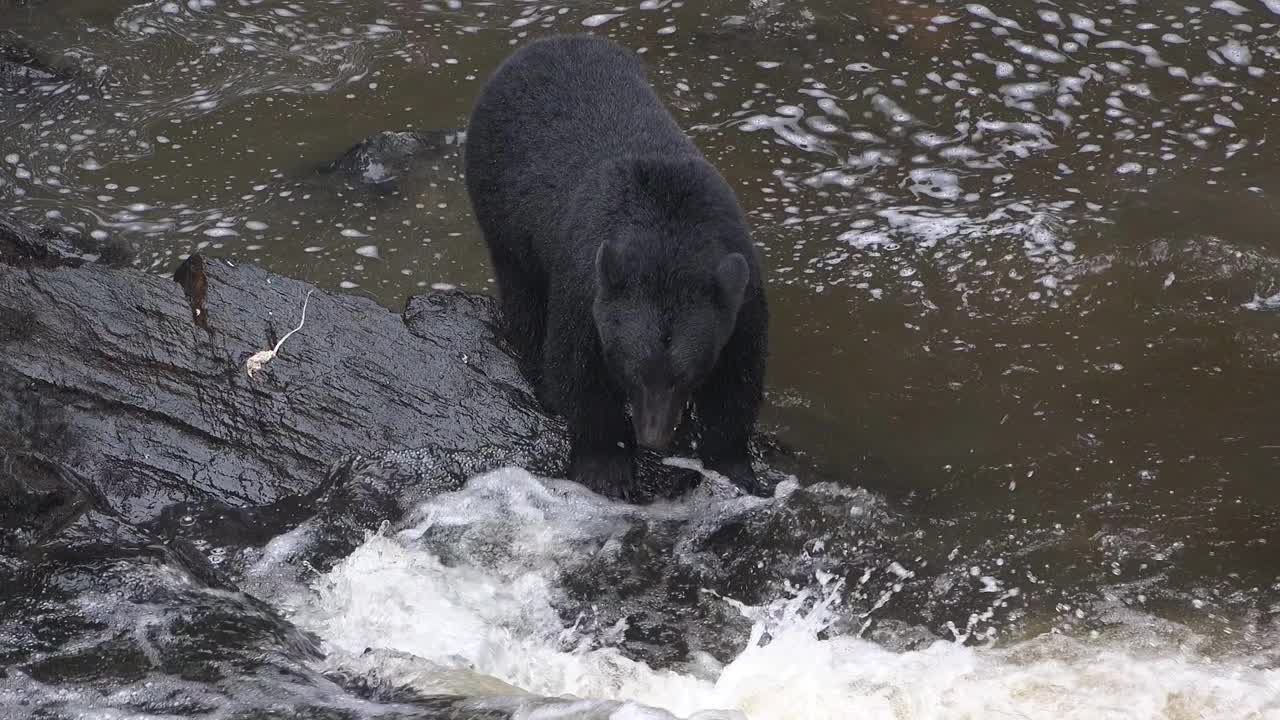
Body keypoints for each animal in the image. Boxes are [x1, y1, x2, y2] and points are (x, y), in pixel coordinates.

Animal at [471, 33, 768, 499]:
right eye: (633, 369)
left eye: (685, 374)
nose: (653, 436)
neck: (669, 240)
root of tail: (548, 41)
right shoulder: (586, 286)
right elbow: (579, 372)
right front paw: (606, 467)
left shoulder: (741, 291)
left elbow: (737, 378)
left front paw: (732, 468)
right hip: (502, 217)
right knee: (525, 300)